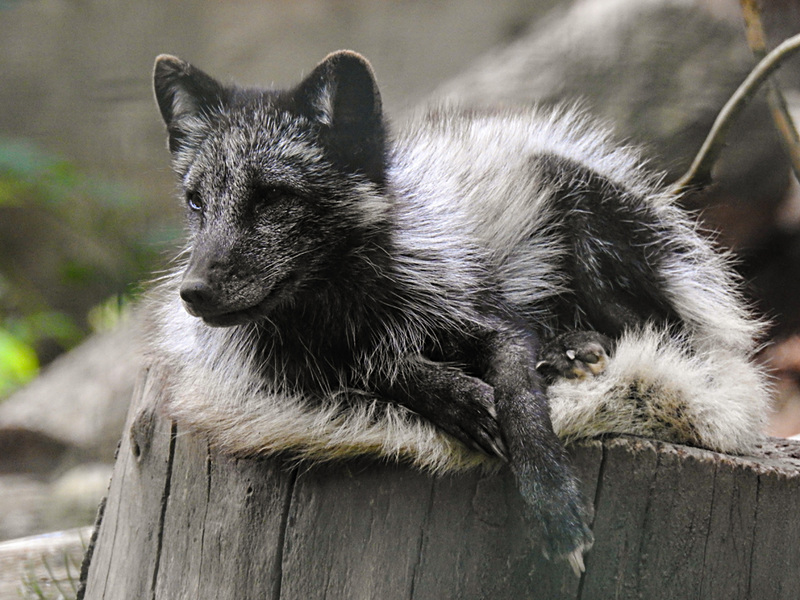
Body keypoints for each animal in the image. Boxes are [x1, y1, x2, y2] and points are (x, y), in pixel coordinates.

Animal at [148, 50, 768, 568]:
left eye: (273, 198)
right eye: (196, 203)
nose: (192, 292)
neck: (342, 313)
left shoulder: (495, 321)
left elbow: (520, 400)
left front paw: (554, 501)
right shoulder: (289, 373)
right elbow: (380, 368)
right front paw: (456, 395)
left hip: (582, 211)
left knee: (666, 334)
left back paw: (571, 349)